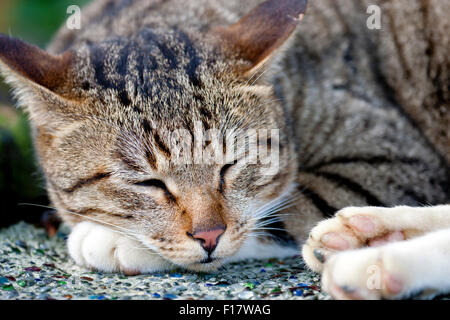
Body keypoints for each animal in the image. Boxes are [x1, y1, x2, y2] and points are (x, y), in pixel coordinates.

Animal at [0, 0, 448, 300]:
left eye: (232, 165)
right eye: (147, 183)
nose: (209, 235)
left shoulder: (393, 160)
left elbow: (278, 214)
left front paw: (110, 239)